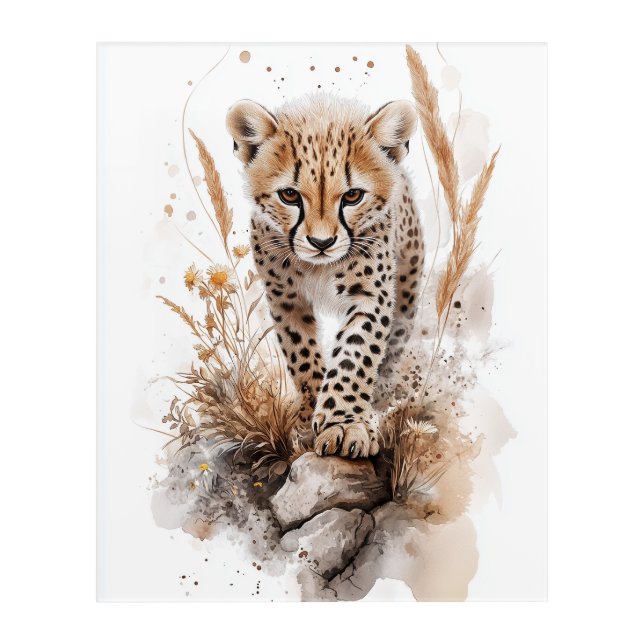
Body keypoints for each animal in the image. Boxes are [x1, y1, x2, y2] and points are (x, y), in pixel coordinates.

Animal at [226, 94, 425, 460]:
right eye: (290, 195)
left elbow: (355, 355)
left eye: (353, 196)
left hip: (406, 289)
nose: (321, 243)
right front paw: (311, 415)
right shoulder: (284, 298)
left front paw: (345, 423)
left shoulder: (371, 296)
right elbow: (301, 354)